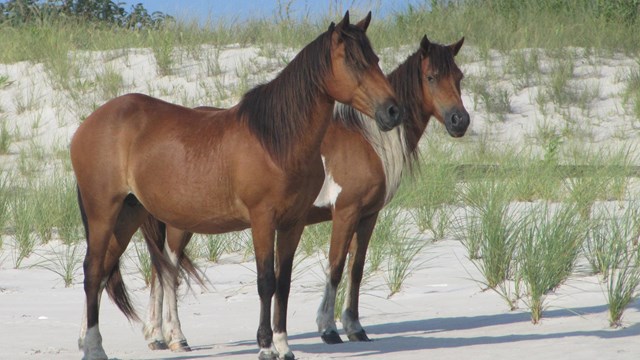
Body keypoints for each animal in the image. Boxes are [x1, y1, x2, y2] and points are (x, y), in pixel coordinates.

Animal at [71, 11, 400, 360]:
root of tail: (88, 123)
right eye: (352, 61)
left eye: (375, 59)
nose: (393, 110)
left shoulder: (293, 222)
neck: (277, 142)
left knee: (102, 272)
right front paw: (266, 346)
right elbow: (266, 281)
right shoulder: (262, 219)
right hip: (103, 212)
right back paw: (94, 347)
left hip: (128, 214)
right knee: (93, 271)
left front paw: (283, 345)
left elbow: (283, 282)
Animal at [140, 33, 468, 348]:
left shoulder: (368, 216)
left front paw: (355, 327)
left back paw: (157, 336)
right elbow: (335, 267)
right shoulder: (345, 212)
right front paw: (328, 328)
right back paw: (174, 336)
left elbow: (356, 270)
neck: (367, 140)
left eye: (459, 76)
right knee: (168, 270)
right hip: (180, 224)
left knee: (160, 270)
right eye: (431, 77)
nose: (460, 120)